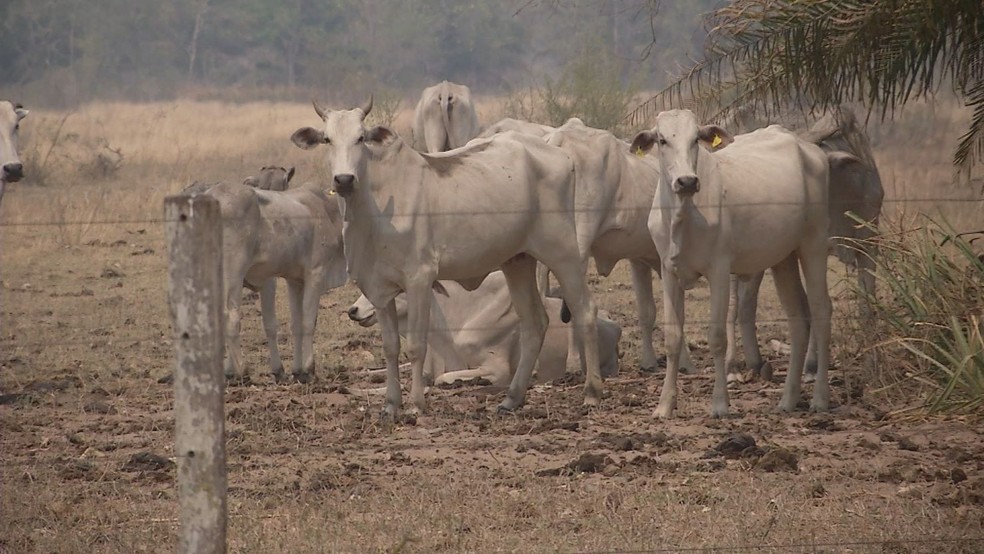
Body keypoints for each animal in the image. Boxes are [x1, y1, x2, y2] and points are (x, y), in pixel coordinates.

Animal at [636, 110, 836, 416]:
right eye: (662, 140)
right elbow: (672, 338)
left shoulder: (719, 269)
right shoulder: (668, 271)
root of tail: (809, 149)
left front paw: (720, 403)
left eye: (696, 139)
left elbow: (717, 337)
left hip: (813, 243)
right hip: (784, 257)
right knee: (798, 318)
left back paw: (820, 398)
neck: (683, 217)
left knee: (822, 309)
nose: (687, 181)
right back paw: (787, 400)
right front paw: (664, 406)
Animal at [724, 104, 884, 376]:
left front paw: (872, 363)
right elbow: (810, 306)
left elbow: (865, 306)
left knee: (747, 302)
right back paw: (732, 364)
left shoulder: (868, 244)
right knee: (734, 304)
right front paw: (811, 366)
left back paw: (756, 362)